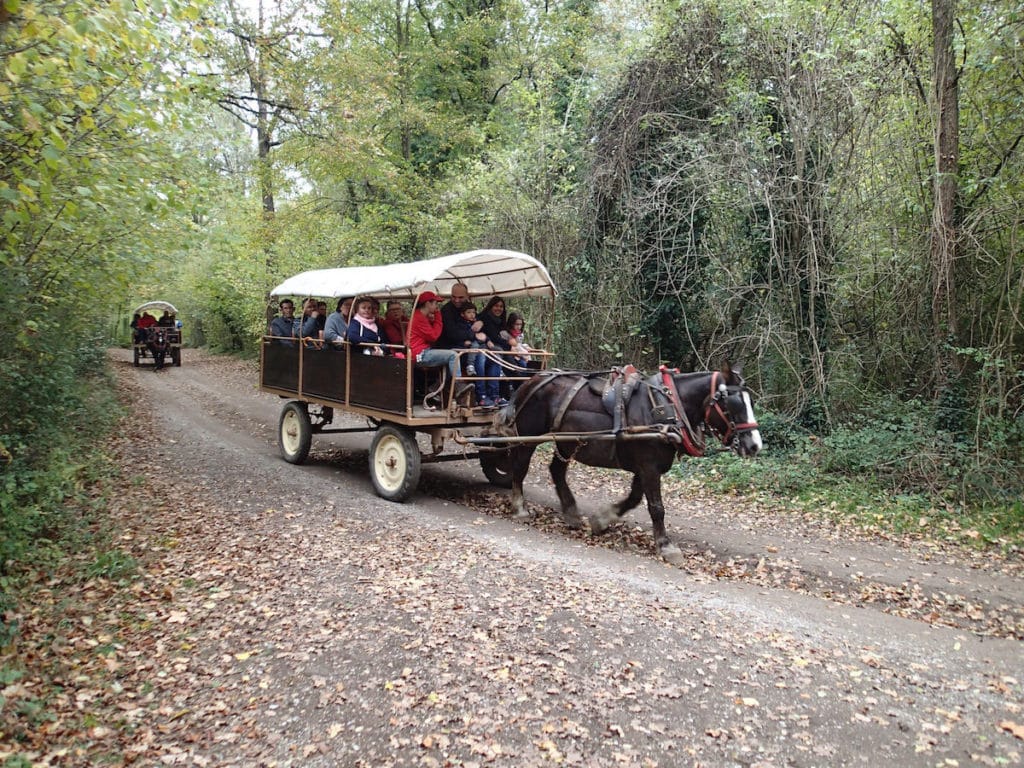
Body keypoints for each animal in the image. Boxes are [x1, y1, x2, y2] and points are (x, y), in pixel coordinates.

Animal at [491, 364, 765, 561]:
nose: (755, 445)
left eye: (750, 402)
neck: (667, 409)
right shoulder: (649, 465)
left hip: (567, 442)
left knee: (556, 471)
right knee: (520, 467)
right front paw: (665, 546)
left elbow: (634, 499)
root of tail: (532, 380)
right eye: (732, 404)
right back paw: (520, 507)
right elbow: (656, 507)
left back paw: (571, 512)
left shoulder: (646, 466)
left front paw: (602, 519)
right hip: (529, 436)